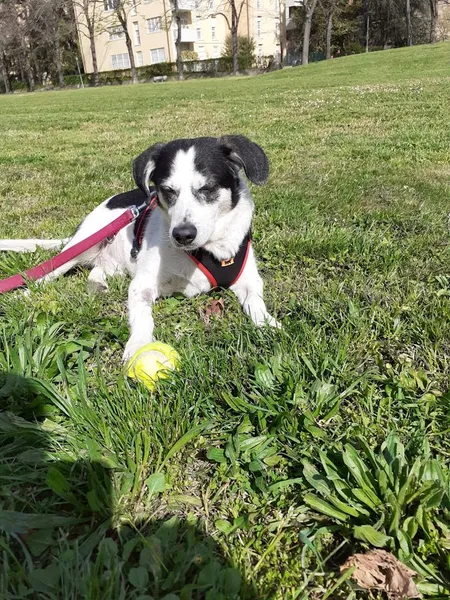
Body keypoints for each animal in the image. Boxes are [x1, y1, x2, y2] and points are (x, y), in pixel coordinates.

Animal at [0, 135, 280, 360]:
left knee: (98, 270)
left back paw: (97, 285)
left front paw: (268, 324)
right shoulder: (142, 286)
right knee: (46, 272)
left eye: (207, 188)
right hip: (79, 248)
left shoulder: (249, 280)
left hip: (111, 262)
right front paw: (139, 345)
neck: (205, 250)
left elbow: (255, 301)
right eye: (167, 190)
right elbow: (143, 317)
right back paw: (25, 295)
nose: (182, 235)